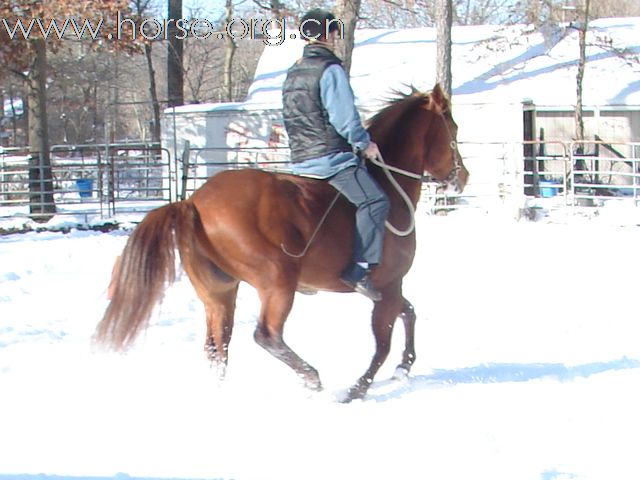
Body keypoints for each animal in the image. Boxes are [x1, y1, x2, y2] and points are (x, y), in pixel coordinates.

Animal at [95, 85, 468, 402]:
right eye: (452, 128)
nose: (462, 177)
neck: (387, 185)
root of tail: (193, 203)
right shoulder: (389, 285)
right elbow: (384, 342)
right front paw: (357, 390)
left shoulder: (389, 289)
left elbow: (409, 313)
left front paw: (404, 366)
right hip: (277, 283)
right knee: (266, 335)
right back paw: (312, 378)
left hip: (219, 293)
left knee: (218, 347)